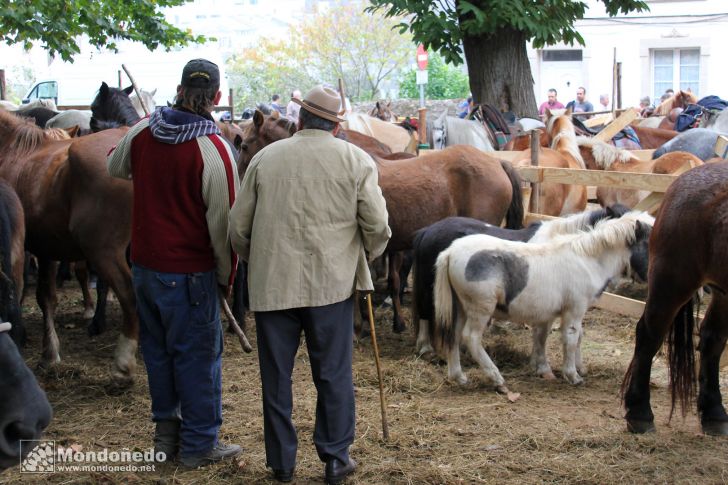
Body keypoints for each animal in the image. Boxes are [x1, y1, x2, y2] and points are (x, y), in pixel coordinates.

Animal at [436, 212, 652, 390]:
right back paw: (496, 378)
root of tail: (450, 252)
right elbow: (571, 338)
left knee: (454, 335)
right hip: (480, 309)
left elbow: (562, 337)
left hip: (461, 307)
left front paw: (573, 368)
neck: (586, 260)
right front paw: (573, 375)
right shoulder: (574, 310)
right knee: (471, 338)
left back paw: (459, 377)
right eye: (650, 243)